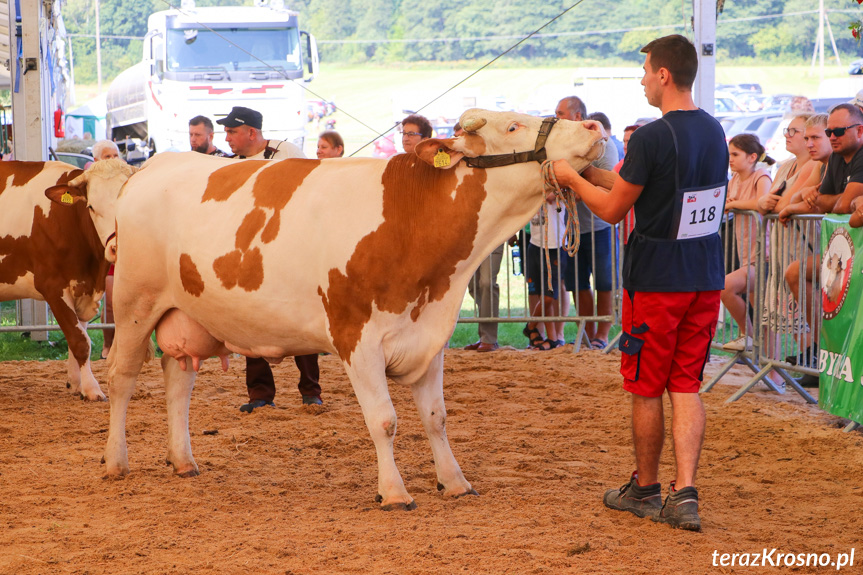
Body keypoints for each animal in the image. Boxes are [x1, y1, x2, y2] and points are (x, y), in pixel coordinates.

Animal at [0, 158, 137, 400]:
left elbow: (81, 334)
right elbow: (80, 341)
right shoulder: (52, 286)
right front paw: (92, 389)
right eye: (91, 206)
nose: (117, 246)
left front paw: (76, 383)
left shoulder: (84, 289)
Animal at [104, 110, 604, 510]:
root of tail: (153, 165)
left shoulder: (429, 338)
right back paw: (115, 462)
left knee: (177, 381)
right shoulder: (356, 338)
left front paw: (455, 482)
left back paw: (183, 461)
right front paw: (395, 493)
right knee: (122, 379)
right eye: (512, 126)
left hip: (183, 313)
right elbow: (384, 420)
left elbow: (436, 418)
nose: (594, 126)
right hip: (133, 303)